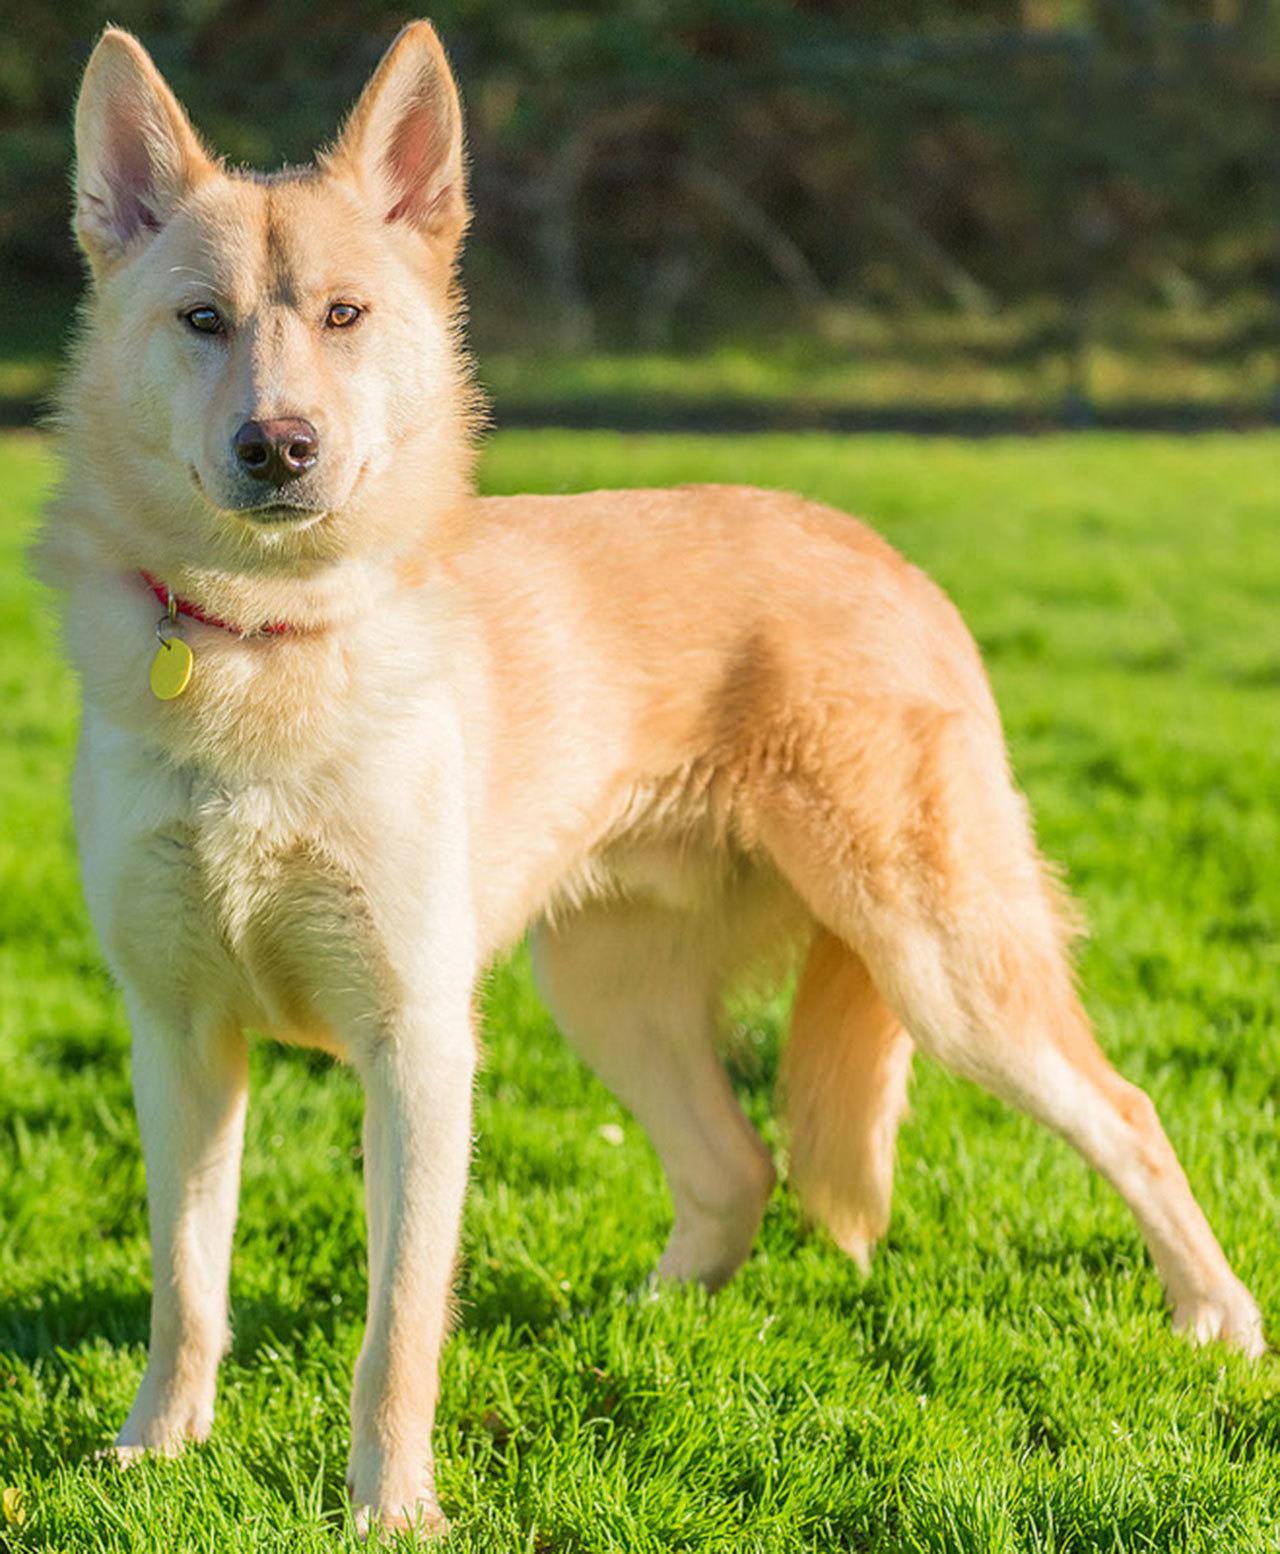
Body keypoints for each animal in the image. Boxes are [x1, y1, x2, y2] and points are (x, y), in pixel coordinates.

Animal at [34, 18, 1267, 1535]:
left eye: (344, 317)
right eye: (201, 320)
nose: (280, 446)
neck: (267, 646)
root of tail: (888, 557)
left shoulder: (417, 1047)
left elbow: (399, 1324)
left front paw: (394, 1508)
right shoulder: (178, 1039)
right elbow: (185, 1288)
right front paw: (154, 1455)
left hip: (942, 968)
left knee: (1129, 1115)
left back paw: (1216, 1320)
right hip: (605, 987)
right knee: (737, 1167)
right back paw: (648, 1327)